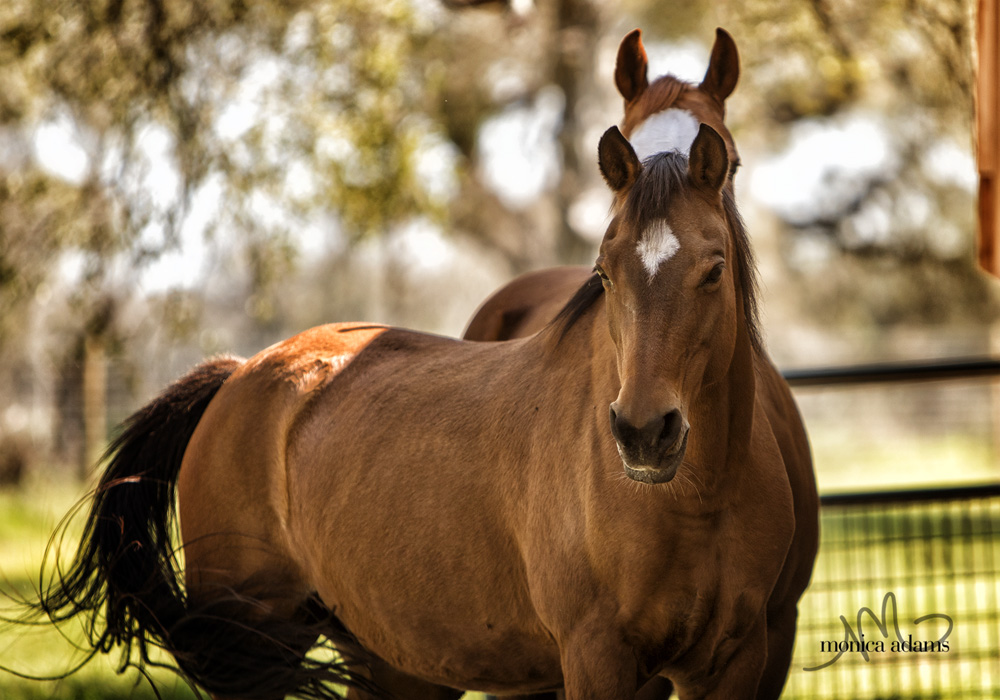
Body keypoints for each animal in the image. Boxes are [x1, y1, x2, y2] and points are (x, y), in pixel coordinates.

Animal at [33, 126, 812, 700]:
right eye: (604, 272)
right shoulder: (599, 661)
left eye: (713, 269)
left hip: (392, 660)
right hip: (257, 652)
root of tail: (239, 373)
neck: (693, 506)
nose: (644, 433)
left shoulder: (738, 661)